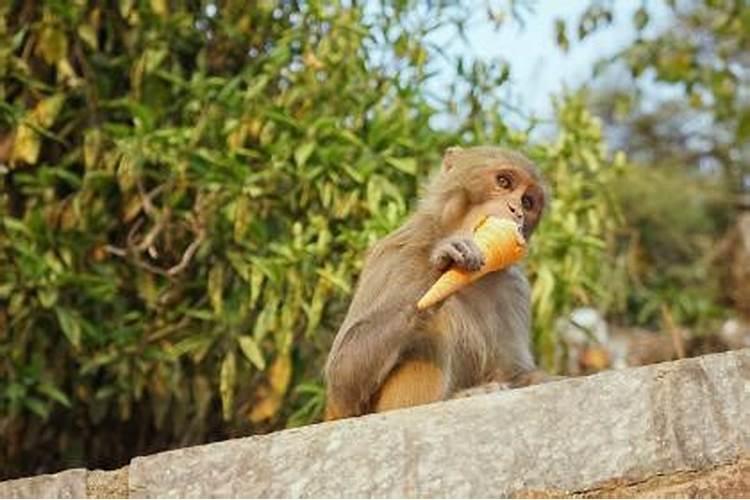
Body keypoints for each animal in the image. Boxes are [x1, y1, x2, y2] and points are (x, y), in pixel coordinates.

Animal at [324, 146, 552, 422]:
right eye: (504, 182)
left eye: (528, 202)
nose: (516, 210)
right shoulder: (395, 256)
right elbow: (342, 383)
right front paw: (440, 270)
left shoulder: (516, 288)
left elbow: (516, 372)